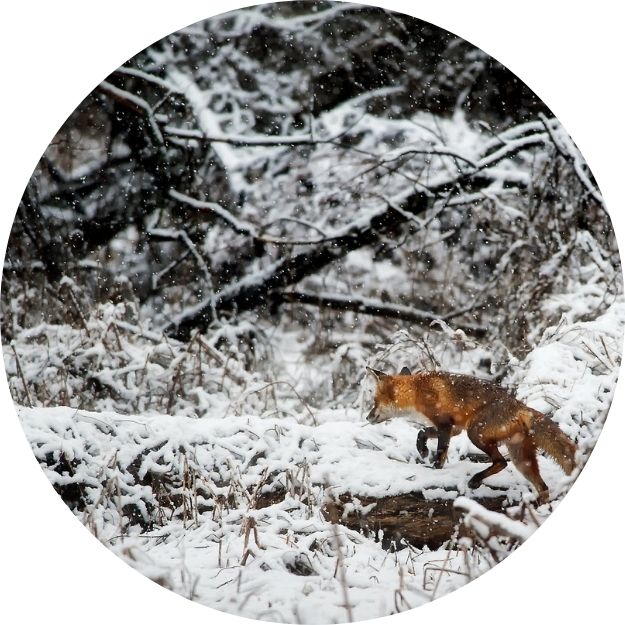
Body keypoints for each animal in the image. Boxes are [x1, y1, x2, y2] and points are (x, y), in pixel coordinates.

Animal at [366, 366, 576, 502]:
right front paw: (423, 450)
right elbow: (422, 432)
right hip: (521, 460)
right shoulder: (454, 428)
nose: (367, 417)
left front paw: (434, 470)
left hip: (476, 434)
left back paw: (475, 480)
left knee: (501, 462)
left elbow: (440, 452)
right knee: (543, 488)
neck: (417, 390)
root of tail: (521, 407)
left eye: (374, 401)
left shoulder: (445, 424)